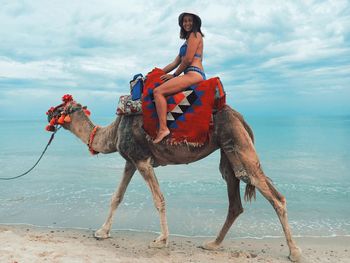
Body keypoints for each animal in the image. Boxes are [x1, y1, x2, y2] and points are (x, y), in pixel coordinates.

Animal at [46, 96, 300, 262]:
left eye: (61, 107)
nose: (47, 114)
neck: (115, 131)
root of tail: (239, 116)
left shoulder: (142, 161)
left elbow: (158, 199)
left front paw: (161, 240)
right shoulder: (130, 161)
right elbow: (116, 197)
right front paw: (102, 232)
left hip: (238, 143)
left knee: (275, 196)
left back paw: (294, 252)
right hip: (229, 154)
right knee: (235, 201)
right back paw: (212, 244)